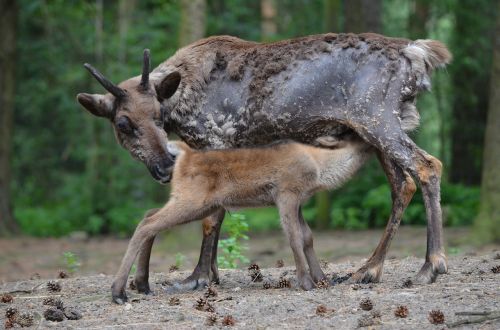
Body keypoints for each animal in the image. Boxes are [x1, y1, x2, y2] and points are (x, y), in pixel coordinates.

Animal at [111, 135, 374, 304]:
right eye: (355, 136)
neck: (320, 168)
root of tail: (185, 154)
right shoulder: (286, 194)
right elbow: (294, 238)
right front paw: (306, 282)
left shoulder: (297, 201)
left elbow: (308, 237)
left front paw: (323, 279)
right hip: (192, 202)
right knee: (147, 224)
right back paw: (119, 293)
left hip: (195, 203)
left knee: (149, 214)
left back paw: (142, 286)